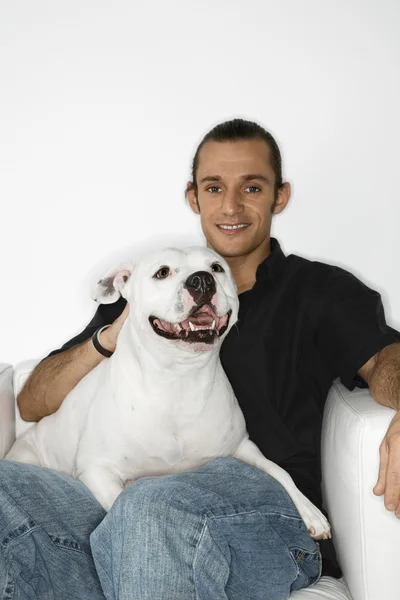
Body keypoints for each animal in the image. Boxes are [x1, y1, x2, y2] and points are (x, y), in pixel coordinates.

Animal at [7, 246, 332, 540]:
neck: (179, 378)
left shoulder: (243, 446)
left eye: (216, 268)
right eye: (162, 273)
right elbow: (122, 502)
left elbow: (280, 472)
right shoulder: (97, 469)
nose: (202, 280)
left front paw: (310, 511)